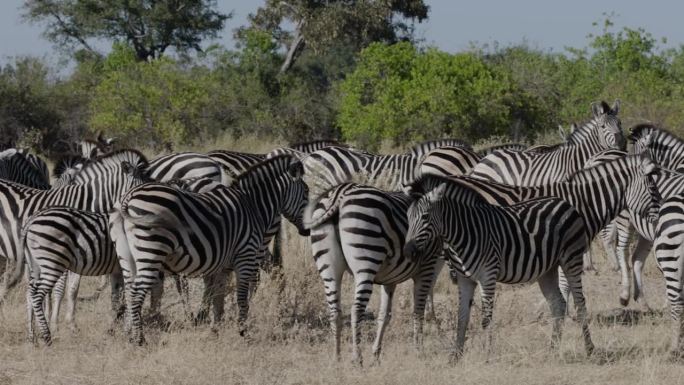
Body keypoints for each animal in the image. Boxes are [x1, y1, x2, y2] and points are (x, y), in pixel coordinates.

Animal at [110, 154, 310, 344]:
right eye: (307, 193)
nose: (307, 231)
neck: (253, 205)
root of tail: (127, 200)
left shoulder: (224, 265)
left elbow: (218, 298)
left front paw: (215, 330)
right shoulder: (245, 254)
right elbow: (241, 297)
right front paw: (243, 332)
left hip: (128, 257)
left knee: (129, 291)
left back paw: (129, 334)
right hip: (151, 252)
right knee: (136, 293)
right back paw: (140, 339)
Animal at [308, 183, 444, 364]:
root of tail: (340, 192)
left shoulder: (390, 279)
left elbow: (384, 315)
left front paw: (376, 354)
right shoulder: (427, 267)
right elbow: (419, 310)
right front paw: (419, 350)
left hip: (328, 268)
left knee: (335, 312)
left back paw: (336, 357)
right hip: (366, 259)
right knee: (356, 309)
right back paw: (357, 358)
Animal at [406, 177, 592, 356]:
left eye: (425, 216)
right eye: (407, 216)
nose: (409, 251)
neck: (466, 232)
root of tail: (564, 202)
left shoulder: (487, 276)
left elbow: (486, 320)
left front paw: (486, 355)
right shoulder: (465, 279)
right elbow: (462, 317)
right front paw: (456, 356)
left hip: (571, 259)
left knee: (580, 303)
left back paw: (589, 348)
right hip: (547, 270)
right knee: (558, 304)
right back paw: (552, 349)